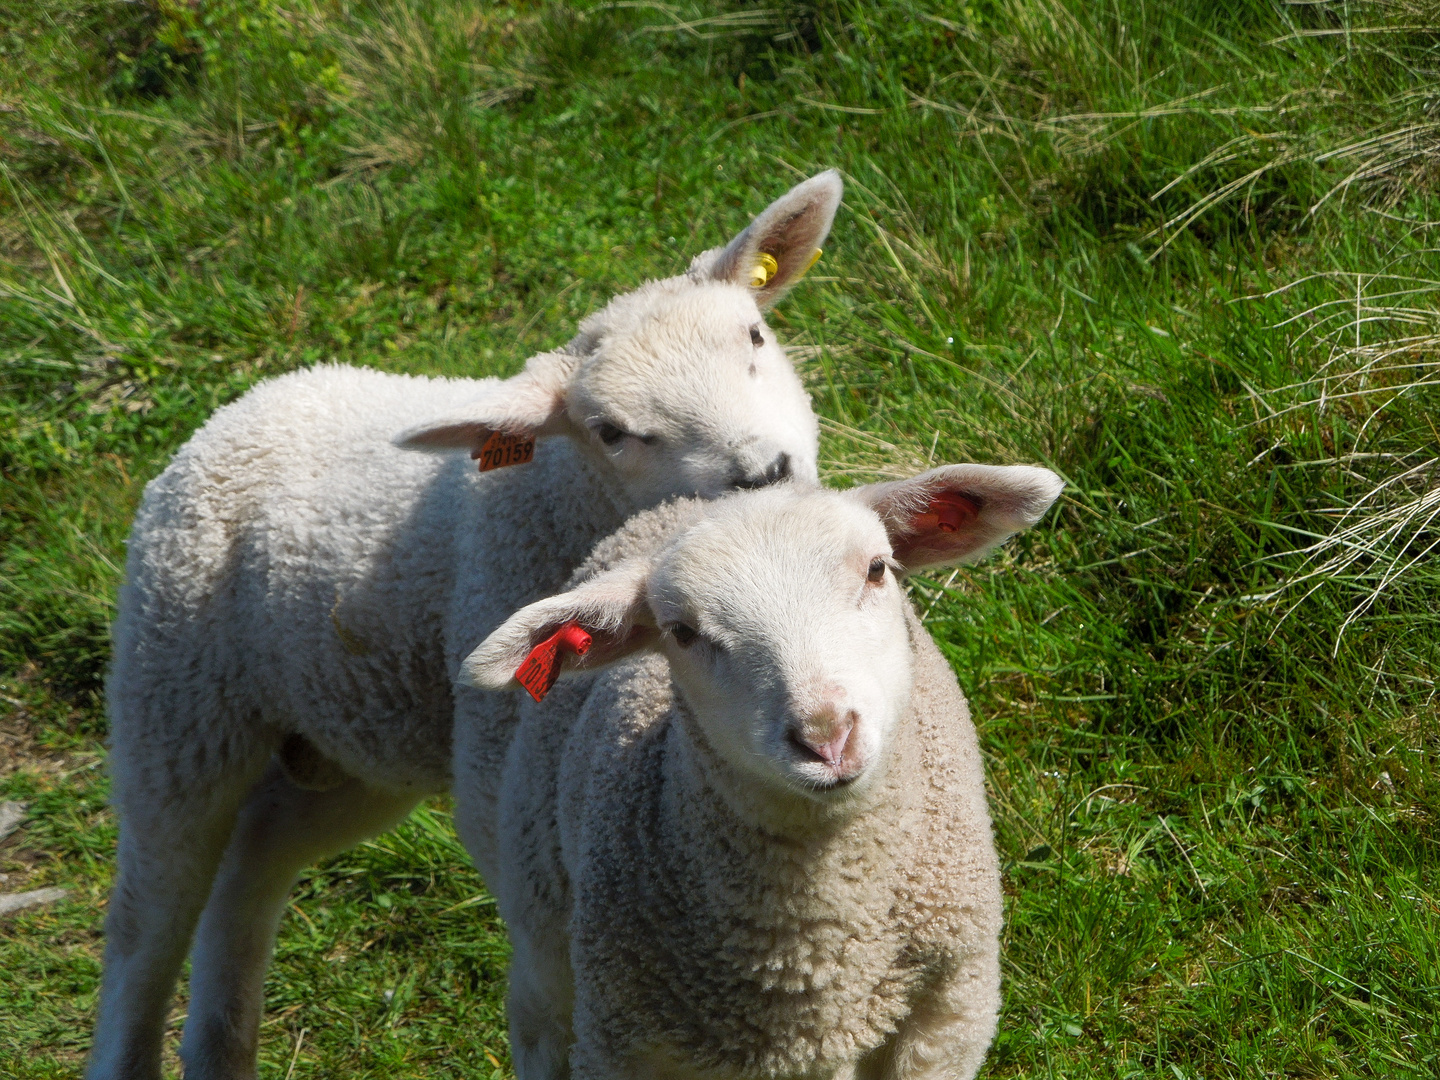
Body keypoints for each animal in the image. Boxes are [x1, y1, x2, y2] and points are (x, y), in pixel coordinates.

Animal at [87, 173, 840, 1080]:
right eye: (613, 433)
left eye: (757, 336)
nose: (766, 472)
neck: (562, 498)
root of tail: (238, 407)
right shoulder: (498, 766)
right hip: (177, 696)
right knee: (147, 915)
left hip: (354, 749)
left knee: (250, 865)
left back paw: (221, 1047)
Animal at [460, 463, 1071, 1080]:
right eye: (682, 632)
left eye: (877, 569)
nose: (826, 738)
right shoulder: (618, 1047)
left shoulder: (949, 1017)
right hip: (541, 927)